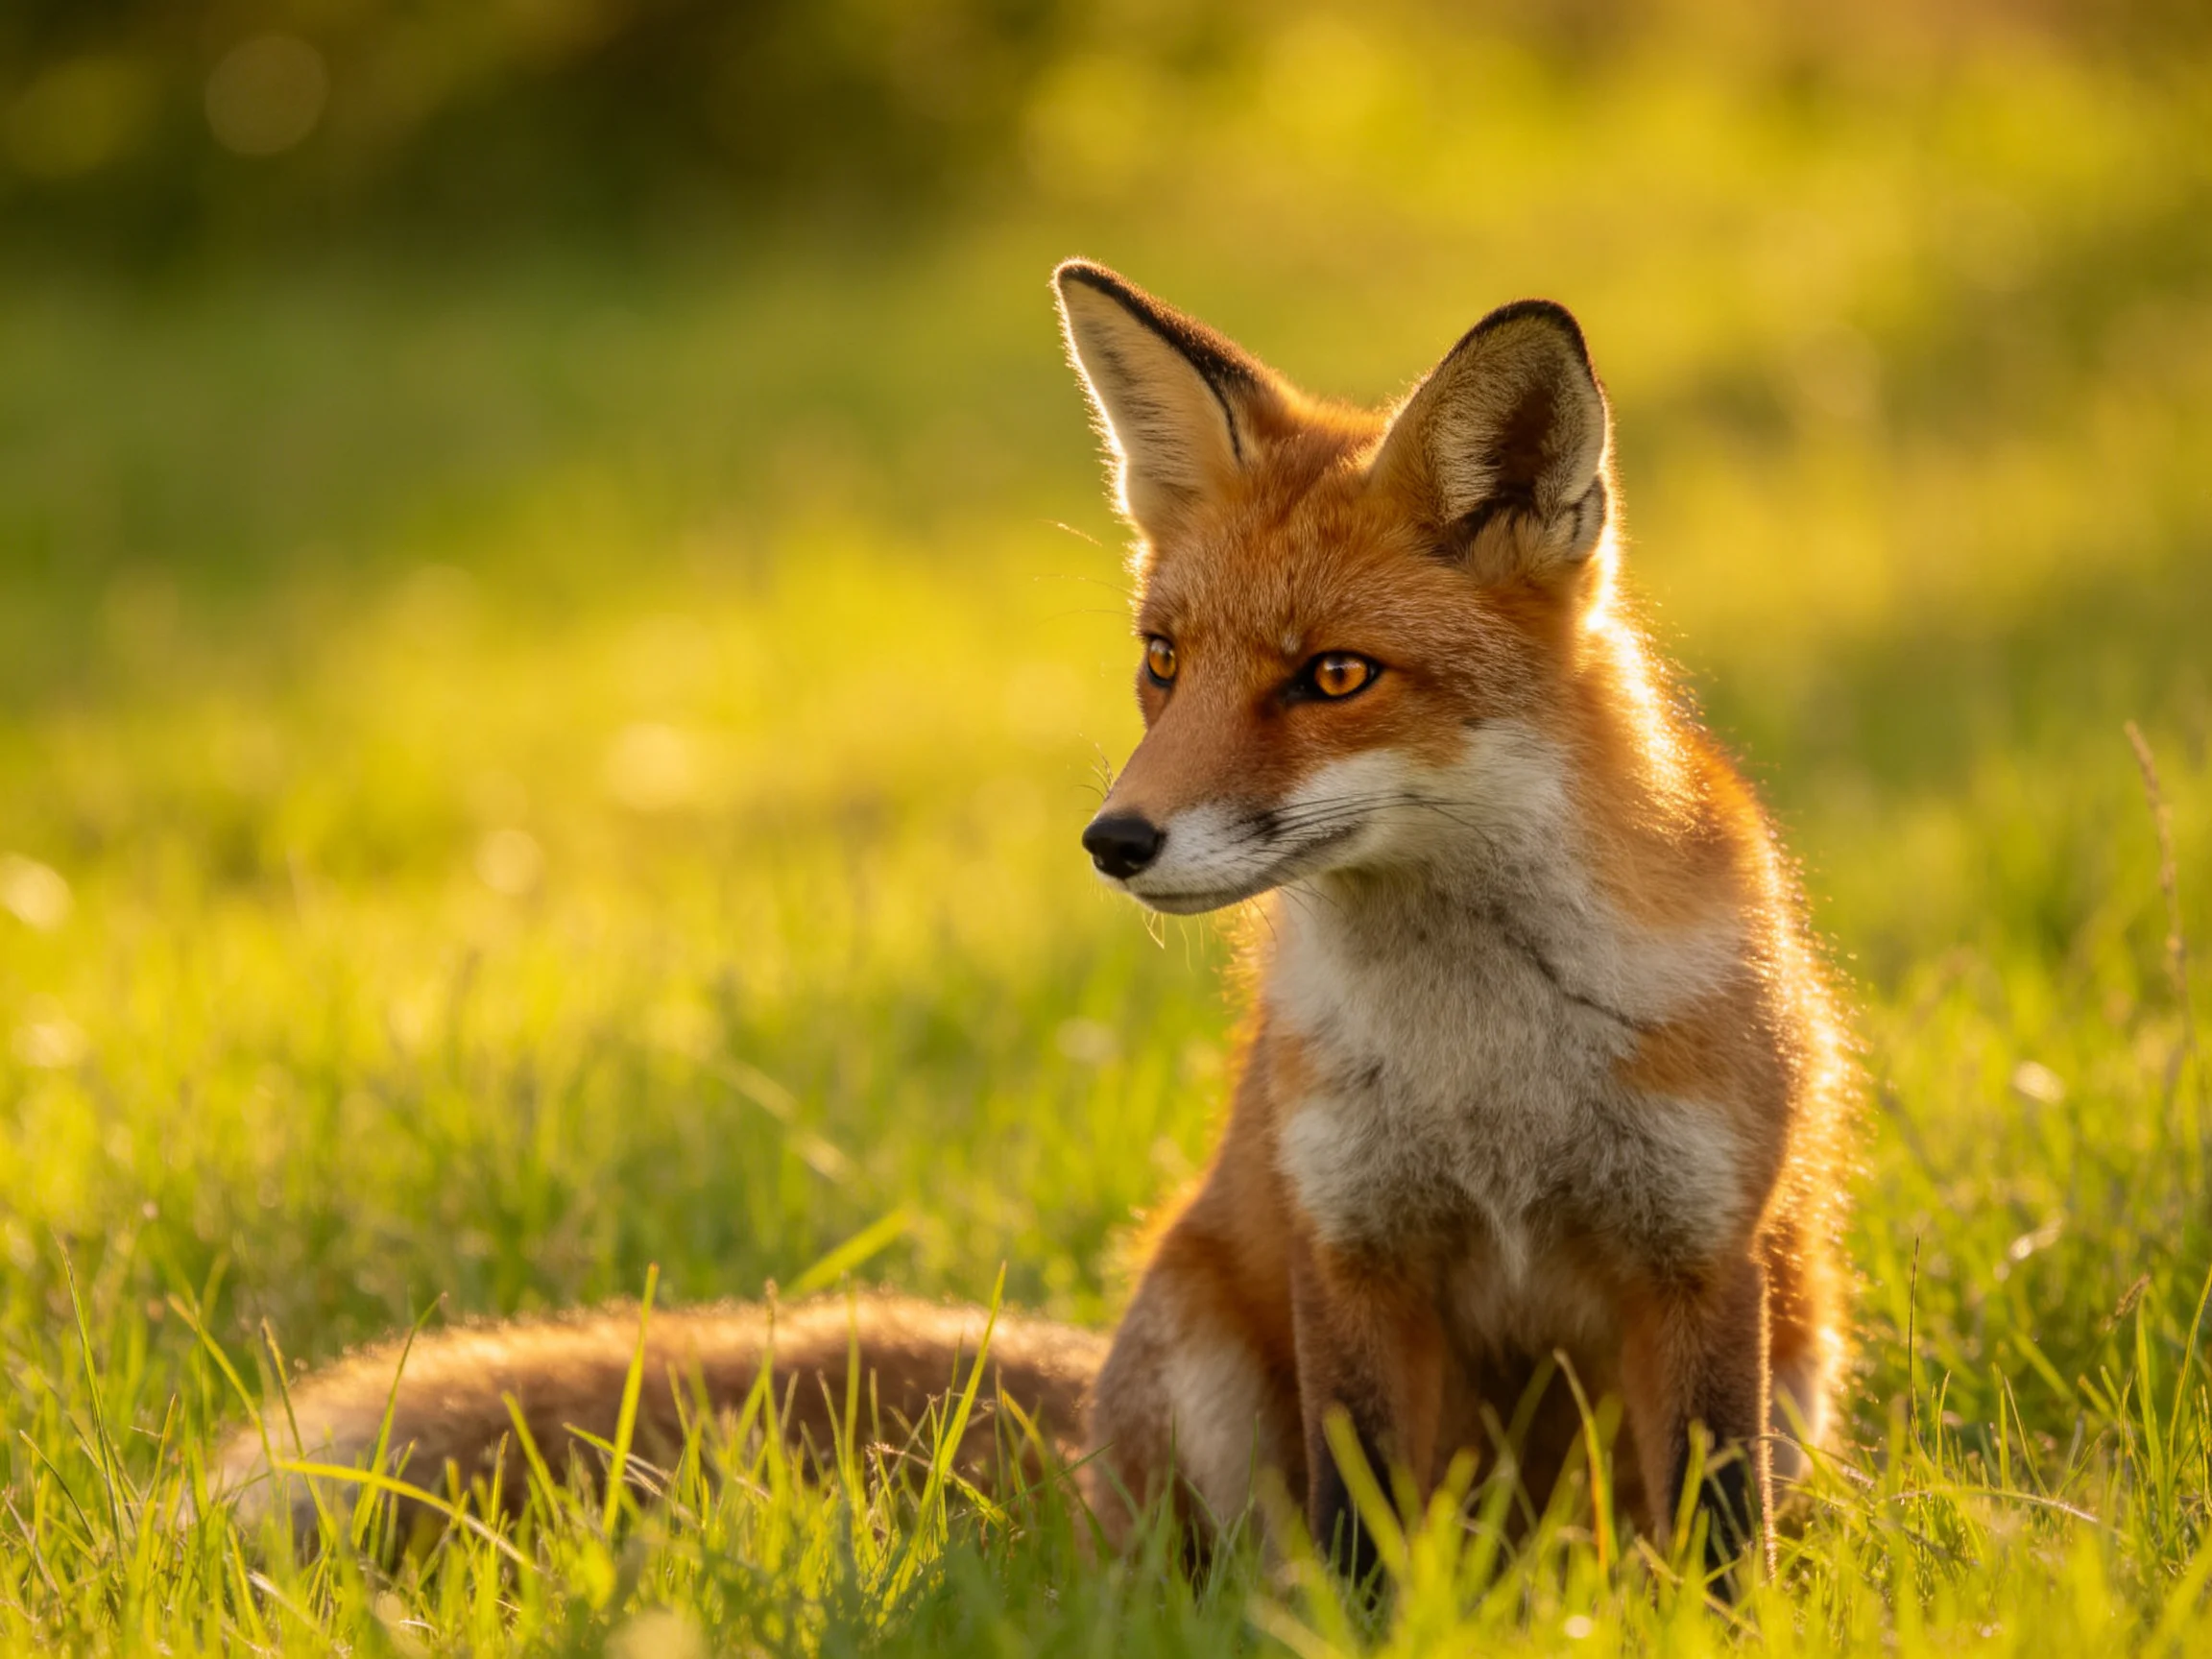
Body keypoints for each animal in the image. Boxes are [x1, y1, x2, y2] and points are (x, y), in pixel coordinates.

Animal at [215, 260, 1855, 1583]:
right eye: (1162, 659)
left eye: (1334, 676)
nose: (1114, 841)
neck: (1488, 1062)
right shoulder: (1355, 1258)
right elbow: (1367, 1554)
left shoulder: (1697, 1261)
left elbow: (1717, 1555)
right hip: (1204, 1356)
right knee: (1204, 1574)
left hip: (1800, 1357)